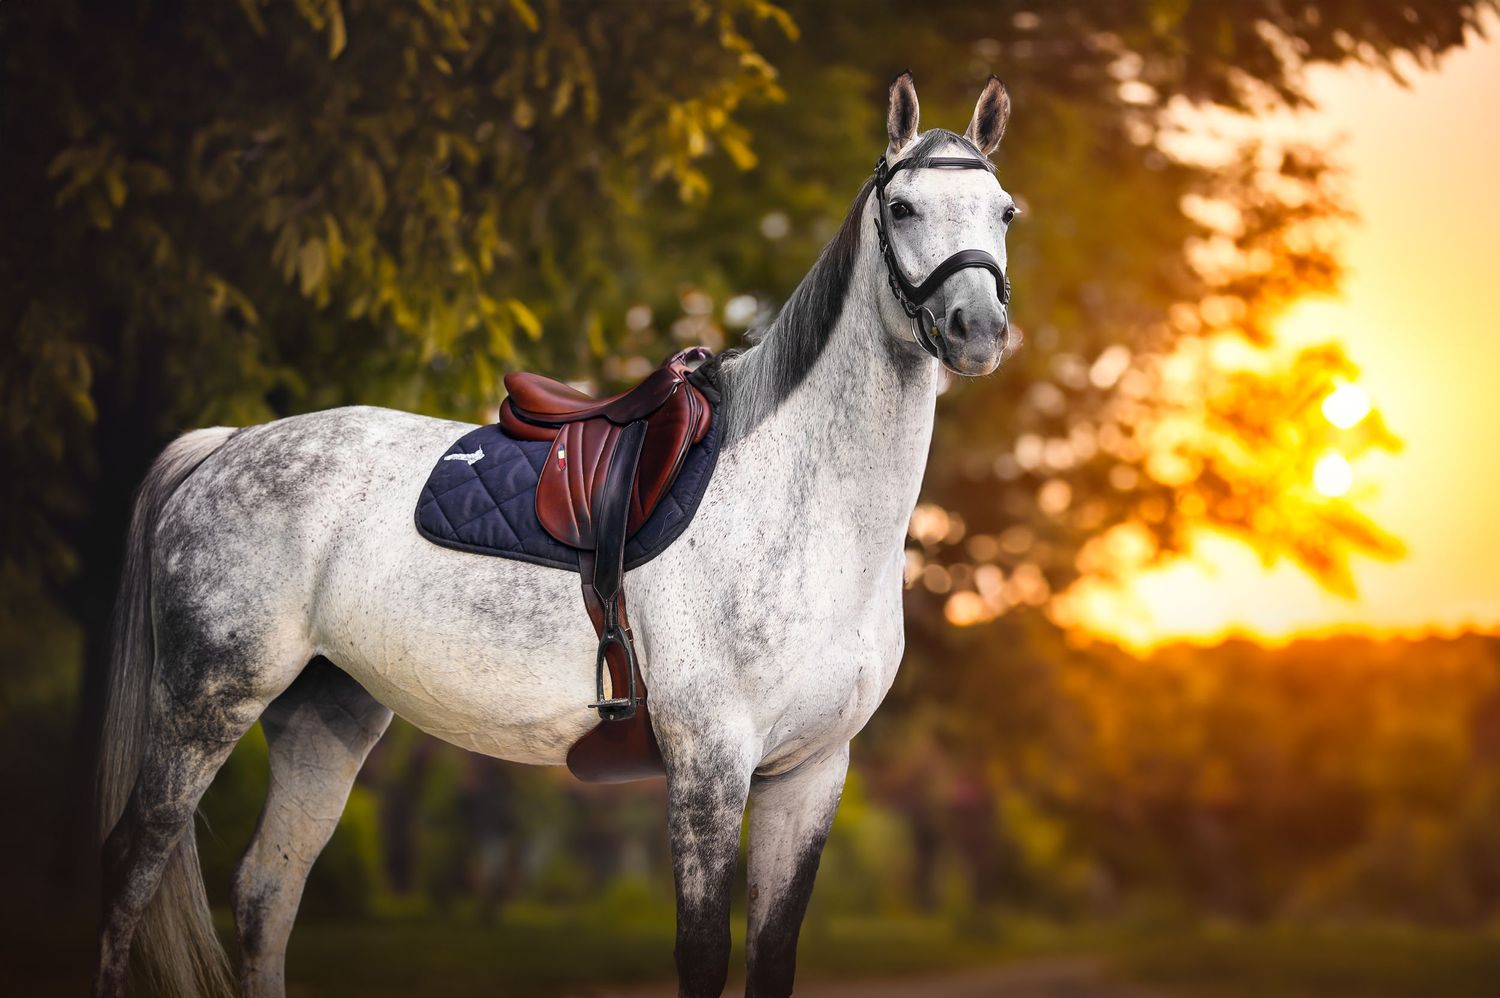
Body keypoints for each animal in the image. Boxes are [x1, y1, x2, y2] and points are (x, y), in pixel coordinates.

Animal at [93, 71, 1020, 998]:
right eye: (901, 206)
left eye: (1005, 212)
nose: (977, 330)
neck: (799, 510)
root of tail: (227, 447)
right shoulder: (710, 764)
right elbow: (703, 955)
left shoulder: (810, 773)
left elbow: (773, 957)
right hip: (205, 701)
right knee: (129, 872)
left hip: (325, 714)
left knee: (264, 890)